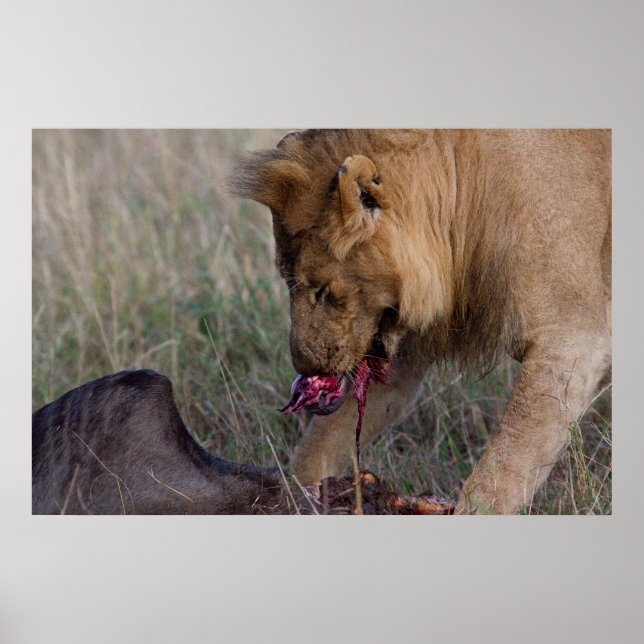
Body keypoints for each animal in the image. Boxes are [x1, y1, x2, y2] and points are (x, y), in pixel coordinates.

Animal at [232, 129, 611, 514]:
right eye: (285, 278)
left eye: (322, 290)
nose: (304, 367)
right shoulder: (396, 350)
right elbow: (325, 439)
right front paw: (295, 497)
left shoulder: (571, 341)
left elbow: (503, 467)